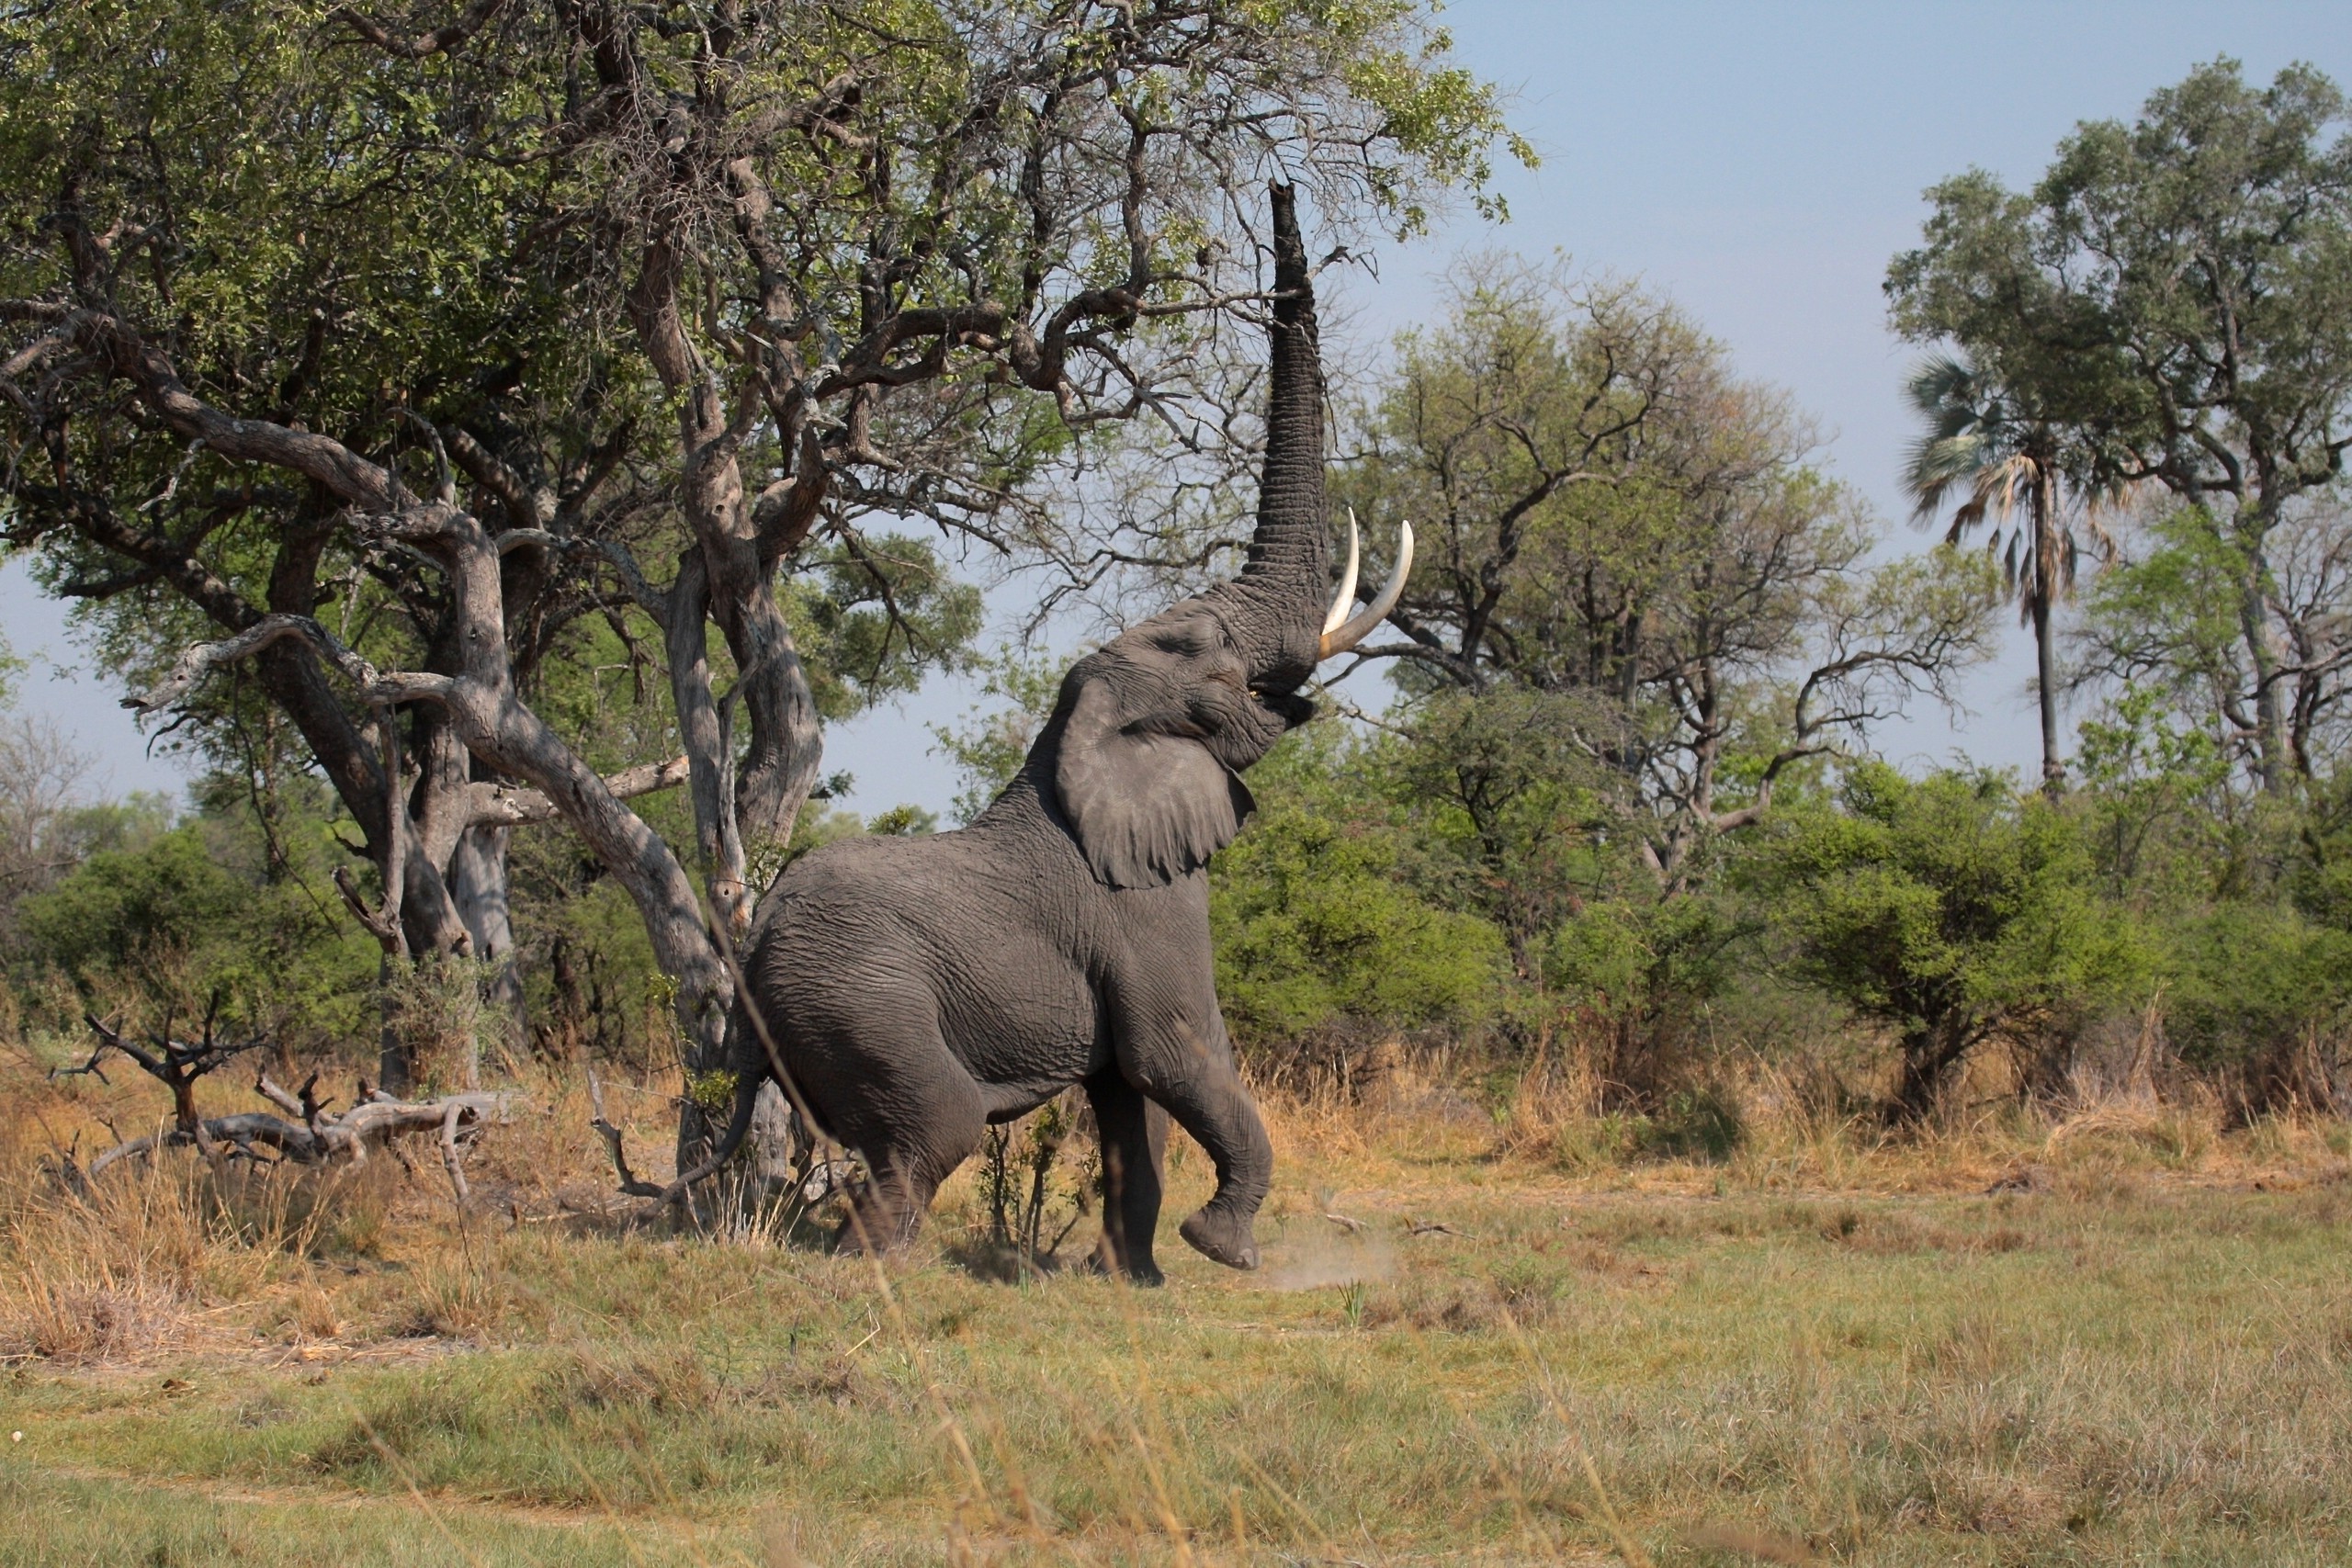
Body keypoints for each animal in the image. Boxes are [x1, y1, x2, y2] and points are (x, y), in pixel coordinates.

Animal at [679, 182, 1410, 1283]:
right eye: (1203, 650)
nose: (1280, 187)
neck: (1082, 736)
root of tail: (753, 944)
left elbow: (1128, 1106)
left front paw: (1133, 1279)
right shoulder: (1144, 907)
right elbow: (1176, 1054)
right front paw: (1222, 1249)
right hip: (861, 1001)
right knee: (932, 1130)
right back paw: (872, 1270)